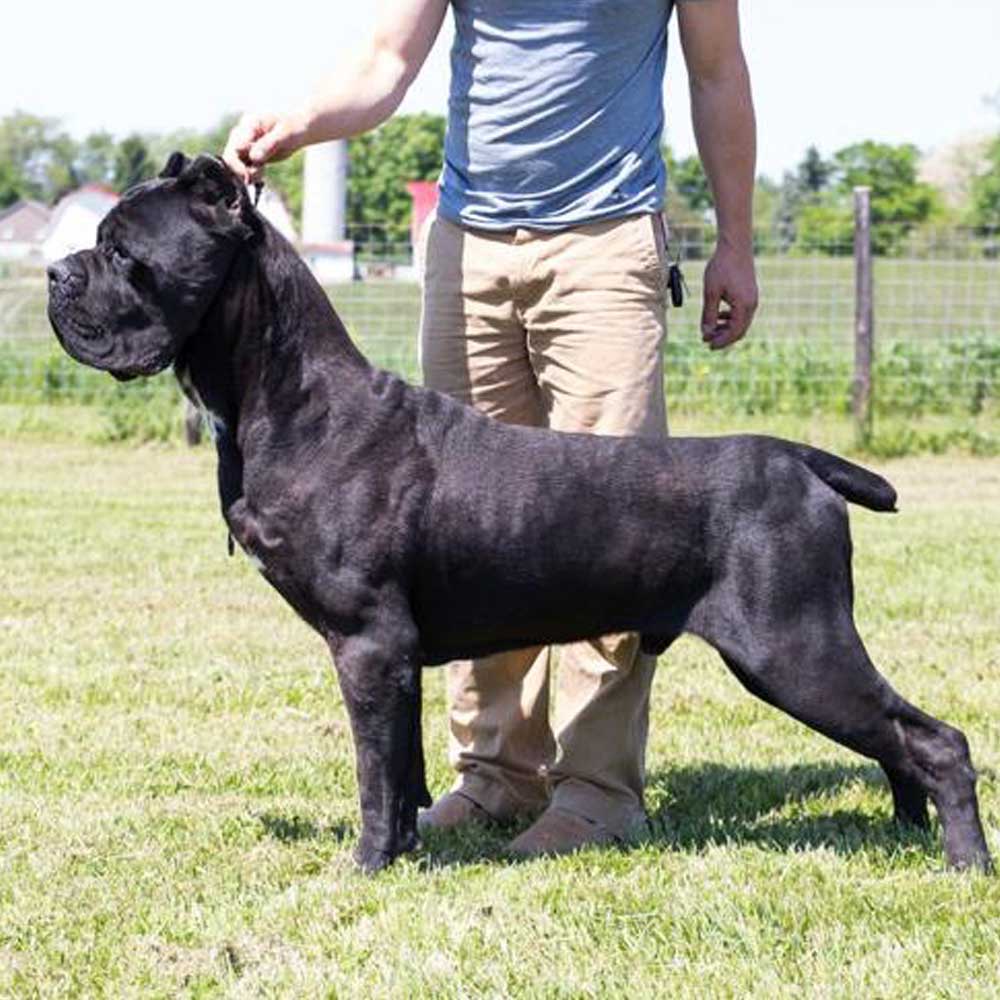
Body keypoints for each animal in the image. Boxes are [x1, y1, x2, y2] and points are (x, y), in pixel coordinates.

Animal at [48, 156, 992, 876]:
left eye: (123, 251)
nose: (56, 273)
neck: (287, 400)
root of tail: (801, 458)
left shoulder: (368, 644)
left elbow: (374, 773)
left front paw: (364, 866)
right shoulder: (394, 657)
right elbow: (403, 770)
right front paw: (403, 850)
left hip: (793, 646)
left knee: (936, 740)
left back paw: (964, 864)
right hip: (805, 651)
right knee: (897, 740)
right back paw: (907, 835)